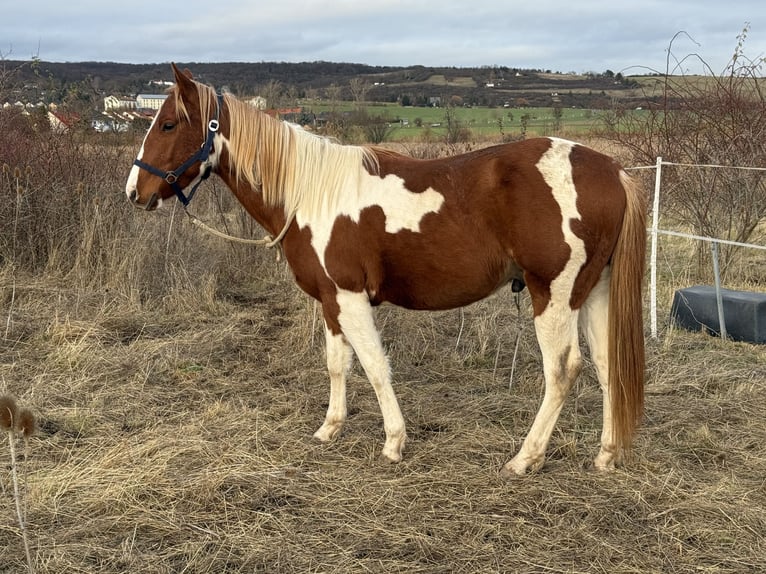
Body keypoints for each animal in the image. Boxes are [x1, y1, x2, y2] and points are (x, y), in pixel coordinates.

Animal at [126, 64, 647, 476]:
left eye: (168, 123)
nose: (135, 191)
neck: (312, 192)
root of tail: (612, 171)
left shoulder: (351, 297)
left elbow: (376, 366)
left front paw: (394, 442)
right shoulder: (331, 301)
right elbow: (337, 364)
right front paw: (330, 428)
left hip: (553, 296)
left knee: (562, 370)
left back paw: (525, 458)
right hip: (592, 292)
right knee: (607, 365)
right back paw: (605, 455)